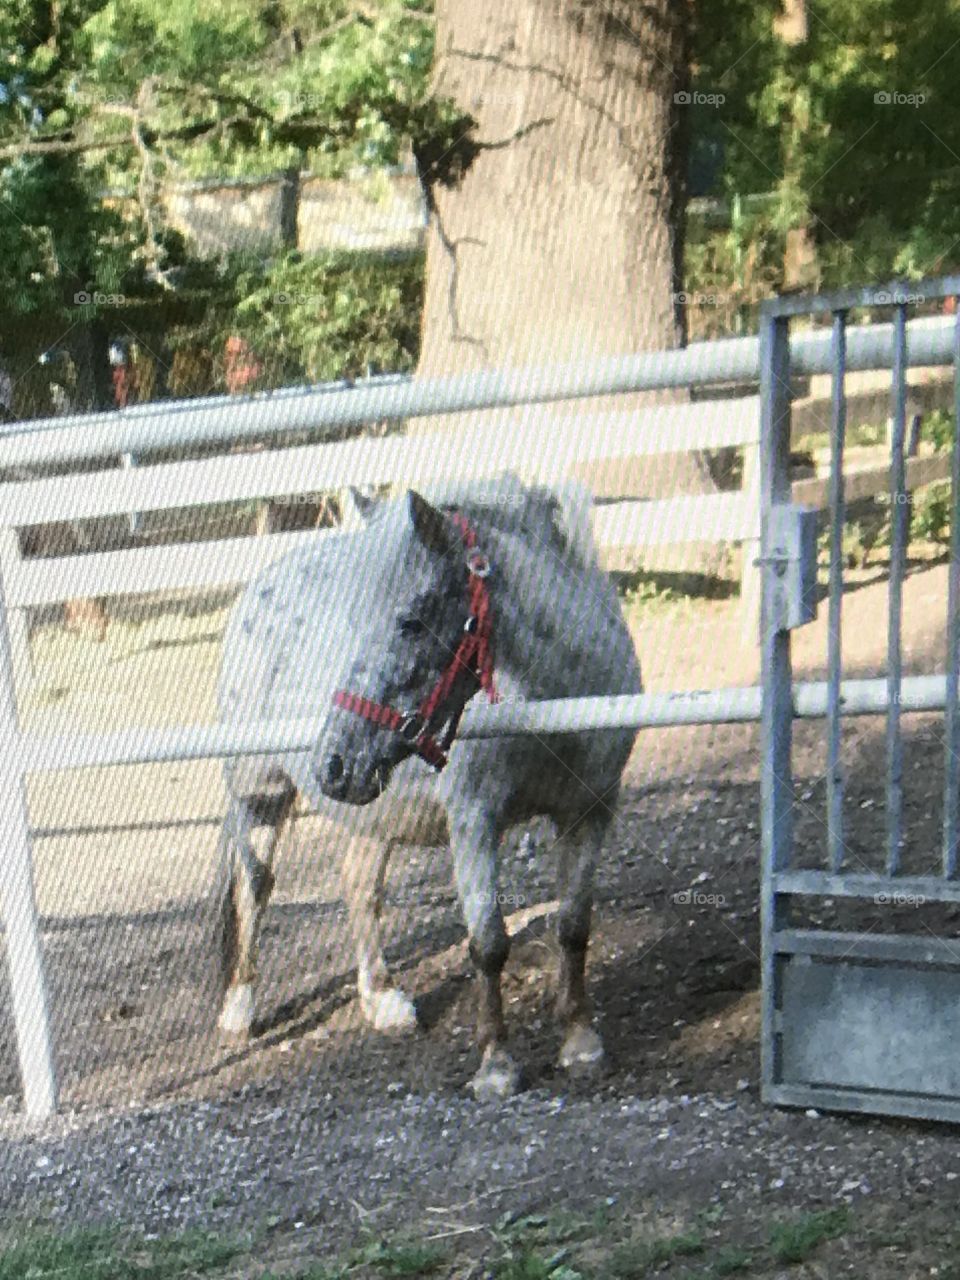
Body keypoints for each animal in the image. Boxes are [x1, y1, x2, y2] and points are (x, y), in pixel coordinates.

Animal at [213, 473, 642, 1100]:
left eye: (411, 621)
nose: (333, 762)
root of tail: (258, 587)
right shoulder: (473, 822)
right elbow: (488, 942)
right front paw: (495, 1065)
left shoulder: (591, 811)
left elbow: (573, 926)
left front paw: (581, 1039)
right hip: (259, 794)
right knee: (253, 886)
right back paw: (239, 1008)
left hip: (374, 808)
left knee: (358, 883)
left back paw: (382, 998)